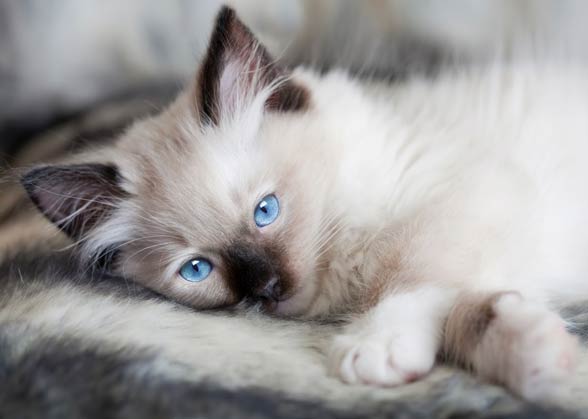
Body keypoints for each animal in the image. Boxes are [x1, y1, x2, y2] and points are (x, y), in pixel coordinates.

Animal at [20, 5, 588, 400]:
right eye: (198, 270)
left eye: (266, 211)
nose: (265, 289)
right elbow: (464, 315)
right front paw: (545, 358)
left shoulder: (467, 193)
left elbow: (406, 272)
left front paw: (373, 345)